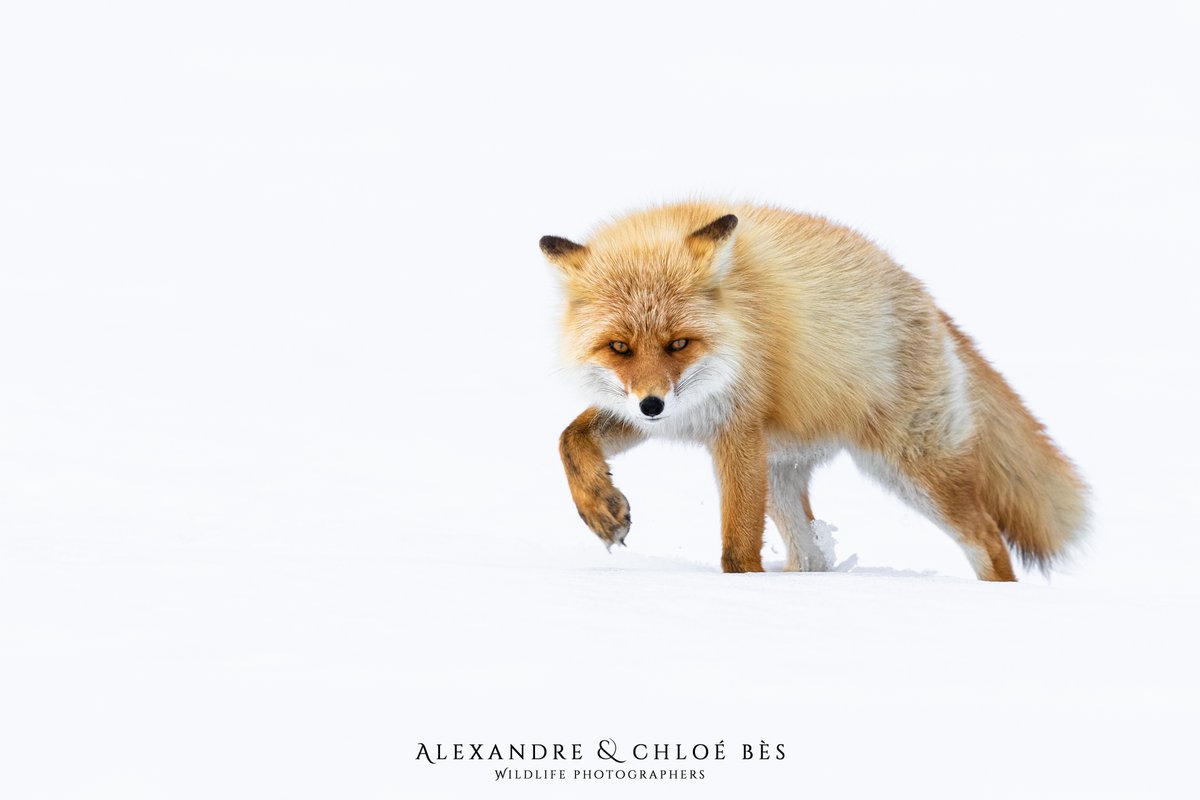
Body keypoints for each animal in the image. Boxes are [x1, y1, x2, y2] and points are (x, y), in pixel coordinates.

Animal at [540, 201, 1089, 581]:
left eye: (679, 343)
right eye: (619, 347)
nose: (652, 404)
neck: (739, 322)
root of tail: (926, 300)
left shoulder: (737, 428)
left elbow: (737, 548)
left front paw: (740, 587)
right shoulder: (662, 413)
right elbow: (569, 441)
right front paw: (601, 508)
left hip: (912, 468)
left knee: (988, 538)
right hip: (783, 476)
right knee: (810, 556)